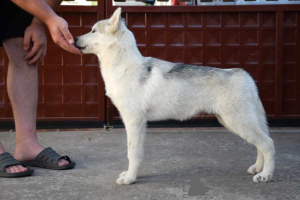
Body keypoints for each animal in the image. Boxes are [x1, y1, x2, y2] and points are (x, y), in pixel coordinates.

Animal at [75, 8, 274, 186]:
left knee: (268, 144)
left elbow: (132, 153)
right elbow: (137, 154)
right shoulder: (139, 124)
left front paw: (130, 179)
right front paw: (132, 175)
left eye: (93, 30)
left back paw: (265, 176)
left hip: (238, 123)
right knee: (261, 145)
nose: (74, 39)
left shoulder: (133, 122)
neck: (124, 66)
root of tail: (244, 75)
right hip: (234, 122)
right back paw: (258, 169)